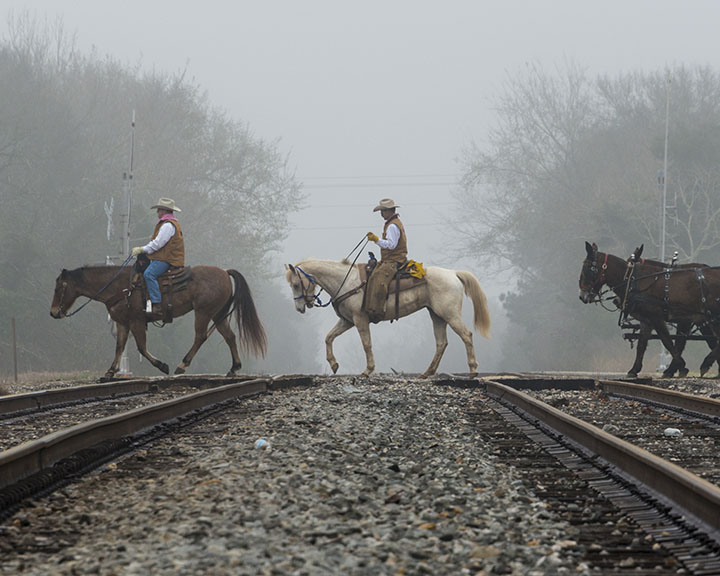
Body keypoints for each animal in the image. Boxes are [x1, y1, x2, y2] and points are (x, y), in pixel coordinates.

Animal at [50, 264, 268, 378]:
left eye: (58, 288)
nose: (53, 313)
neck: (120, 287)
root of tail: (224, 271)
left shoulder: (137, 321)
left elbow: (141, 347)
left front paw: (162, 365)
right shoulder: (122, 323)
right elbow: (120, 346)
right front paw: (110, 372)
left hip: (204, 312)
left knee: (200, 337)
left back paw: (181, 366)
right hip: (218, 314)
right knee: (230, 336)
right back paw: (233, 368)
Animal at [286, 260, 490, 378]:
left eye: (296, 284)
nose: (300, 308)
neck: (345, 282)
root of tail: (453, 273)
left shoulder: (359, 319)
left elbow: (366, 344)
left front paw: (368, 370)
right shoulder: (348, 321)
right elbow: (329, 337)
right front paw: (334, 364)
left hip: (450, 314)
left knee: (466, 335)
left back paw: (473, 370)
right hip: (437, 316)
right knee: (441, 343)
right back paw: (427, 373)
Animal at [576, 243, 720, 378]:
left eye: (588, 268)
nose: (582, 296)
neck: (636, 280)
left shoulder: (664, 318)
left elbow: (668, 341)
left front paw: (679, 367)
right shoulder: (648, 320)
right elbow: (642, 344)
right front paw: (634, 369)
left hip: (712, 316)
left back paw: (706, 363)